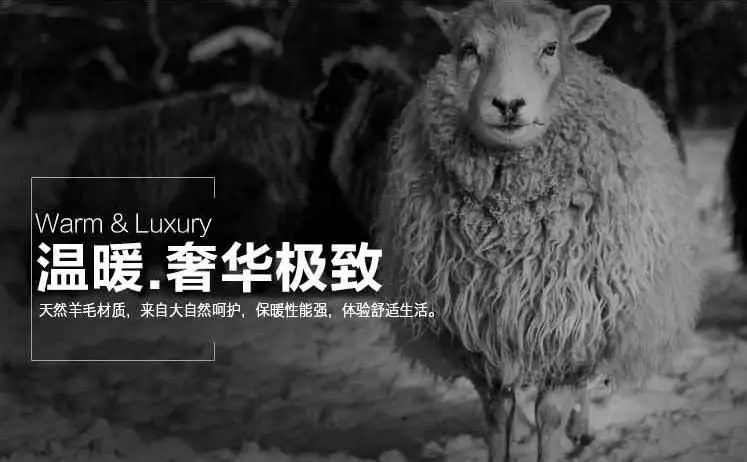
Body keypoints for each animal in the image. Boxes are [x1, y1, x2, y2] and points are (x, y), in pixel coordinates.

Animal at [328, 1, 701, 461]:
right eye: (468, 48)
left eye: (550, 47)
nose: (507, 104)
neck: (509, 225)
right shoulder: (478, 333)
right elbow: (497, 413)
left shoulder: (570, 328)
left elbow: (551, 414)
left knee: (580, 395)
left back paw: (581, 430)